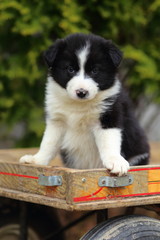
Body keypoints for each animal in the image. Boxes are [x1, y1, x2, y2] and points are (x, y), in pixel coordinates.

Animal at [20, 32, 150, 175]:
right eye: (70, 69)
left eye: (95, 70)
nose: (81, 92)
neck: (79, 105)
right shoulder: (57, 121)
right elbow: (48, 142)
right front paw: (36, 160)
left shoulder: (109, 116)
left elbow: (109, 141)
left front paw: (116, 161)